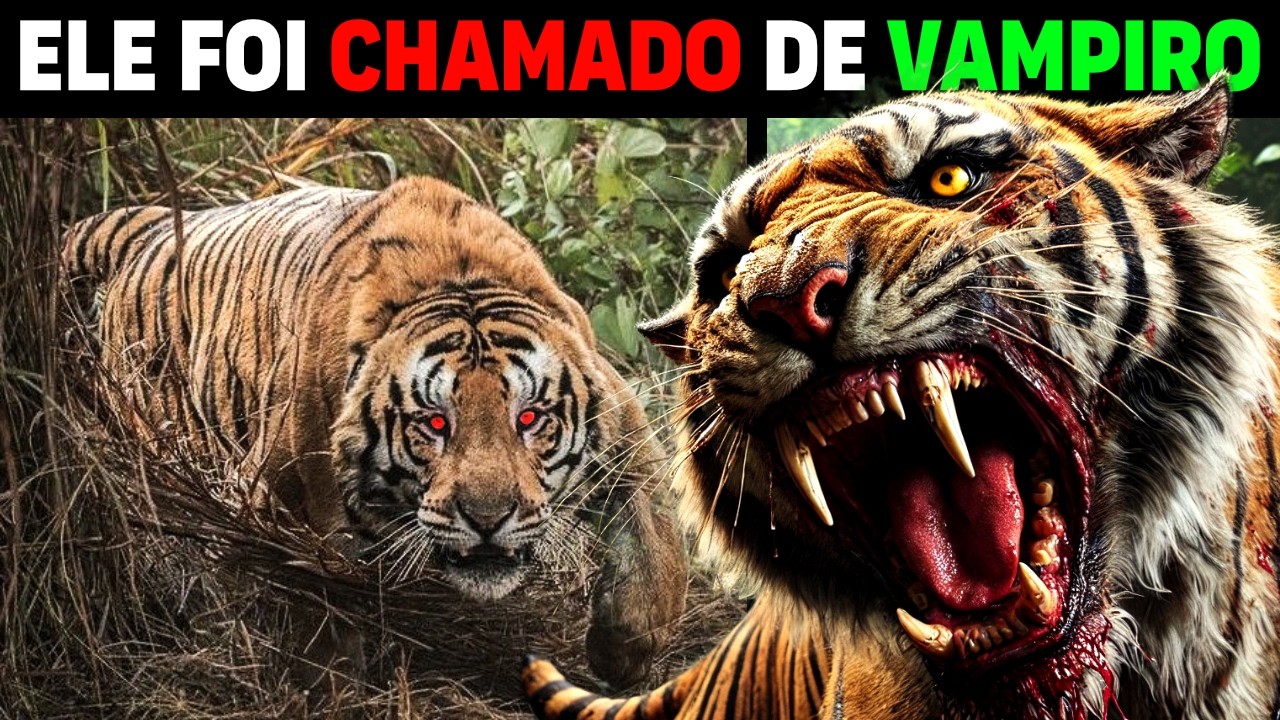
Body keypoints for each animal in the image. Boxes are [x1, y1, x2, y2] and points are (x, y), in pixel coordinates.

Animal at [60, 175, 687, 691]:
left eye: (529, 419)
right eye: (435, 424)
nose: (488, 520)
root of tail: (150, 229)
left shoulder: (626, 428)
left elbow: (656, 547)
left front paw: (623, 657)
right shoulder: (275, 501)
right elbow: (310, 600)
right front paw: (326, 685)